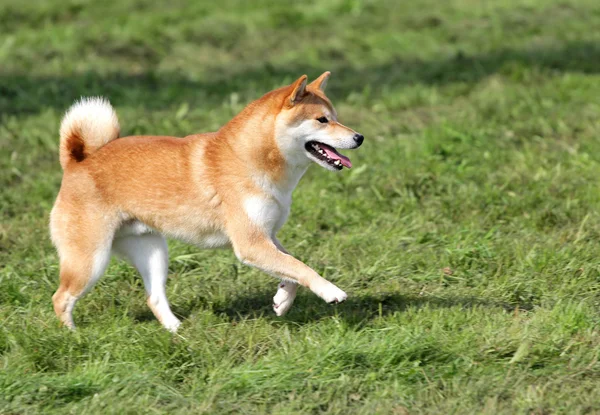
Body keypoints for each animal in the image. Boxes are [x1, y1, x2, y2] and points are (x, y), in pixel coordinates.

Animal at [49, 71, 364, 332]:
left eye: (335, 116)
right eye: (322, 120)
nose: (359, 137)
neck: (250, 159)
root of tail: (77, 163)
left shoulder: (265, 234)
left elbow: (293, 265)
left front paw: (283, 299)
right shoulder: (250, 243)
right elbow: (300, 266)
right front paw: (330, 290)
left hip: (152, 252)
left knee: (154, 298)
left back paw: (178, 332)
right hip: (91, 260)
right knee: (60, 298)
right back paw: (74, 337)